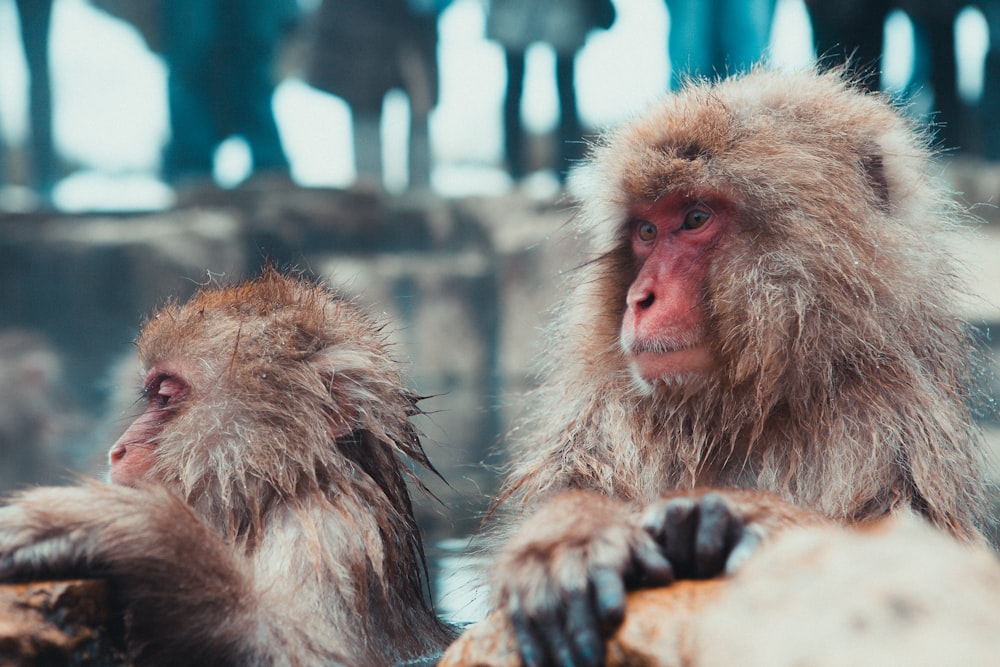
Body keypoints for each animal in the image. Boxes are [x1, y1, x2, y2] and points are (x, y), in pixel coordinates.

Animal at [0, 268, 454, 664]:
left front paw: (116, 526)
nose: (117, 450)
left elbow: (300, 652)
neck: (276, 495)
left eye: (164, 397)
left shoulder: (329, 535)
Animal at [472, 69, 996, 667]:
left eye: (695, 219)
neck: (749, 403)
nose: (638, 298)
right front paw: (571, 537)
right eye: (646, 232)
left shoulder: (900, 425)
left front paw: (744, 518)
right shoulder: (608, 416)